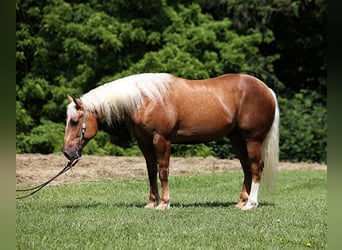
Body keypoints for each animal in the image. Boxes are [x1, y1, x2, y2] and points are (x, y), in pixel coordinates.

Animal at [62, 73, 280, 211]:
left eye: (74, 121)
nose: (67, 152)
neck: (145, 99)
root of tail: (267, 89)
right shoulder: (144, 142)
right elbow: (151, 171)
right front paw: (151, 202)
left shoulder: (162, 140)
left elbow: (163, 171)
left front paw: (164, 203)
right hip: (237, 139)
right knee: (246, 168)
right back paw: (241, 202)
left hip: (252, 139)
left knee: (256, 167)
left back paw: (251, 204)